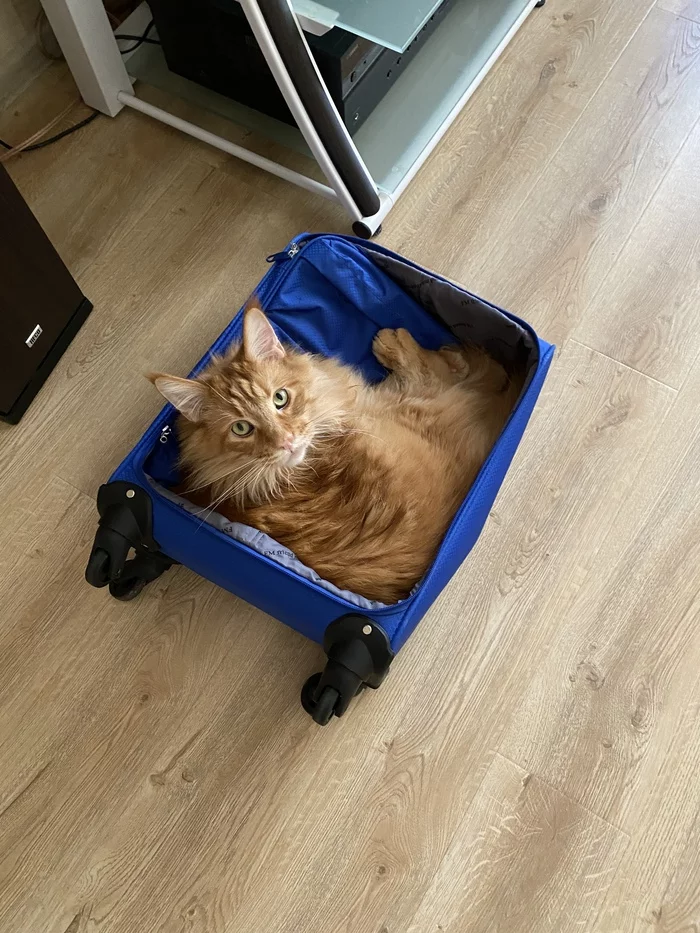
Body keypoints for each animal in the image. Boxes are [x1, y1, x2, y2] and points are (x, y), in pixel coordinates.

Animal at [150, 302, 524, 600]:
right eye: (241, 428)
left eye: (280, 398)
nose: (286, 441)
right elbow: (439, 368)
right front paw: (403, 343)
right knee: (460, 368)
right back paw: (401, 340)